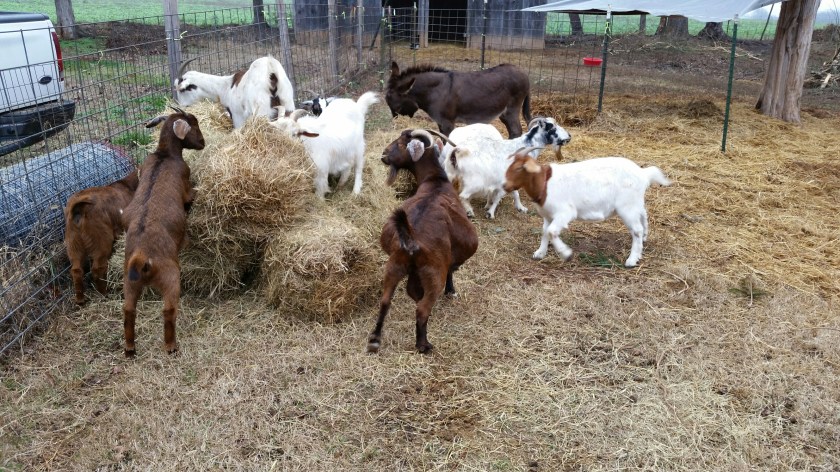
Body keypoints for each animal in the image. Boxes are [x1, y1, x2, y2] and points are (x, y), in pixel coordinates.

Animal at [64, 169, 139, 305]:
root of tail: (78, 208)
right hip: (101, 241)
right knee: (97, 269)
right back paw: (105, 294)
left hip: (73, 243)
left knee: (76, 270)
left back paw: (80, 300)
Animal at [121, 108, 205, 356]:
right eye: (194, 124)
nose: (203, 143)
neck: (163, 155)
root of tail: (141, 256)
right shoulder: (187, 187)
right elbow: (192, 194)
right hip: (171, 277)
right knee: (168, 310)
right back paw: (171, 346)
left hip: (129, 283)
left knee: (128, 310)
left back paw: (130, 348)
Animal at [367, 129, 478, 354]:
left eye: (401, 144)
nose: (383, 155)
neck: (435, 180)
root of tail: (410, 241)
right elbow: (452, 268)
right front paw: (451, 291)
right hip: (433, 274)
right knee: (422, 309)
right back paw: (423, 345)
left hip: (394, 266)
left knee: (385, 301)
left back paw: (375, 339)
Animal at [442, 118, 571, 219]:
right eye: (553, 128)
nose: (569, 136)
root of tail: (457, 151)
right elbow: (503, 194)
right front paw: (490, 212)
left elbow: (514, 193)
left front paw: (520, 208)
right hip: (475, 183)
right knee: (462, 196)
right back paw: (469, 211)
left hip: (449, 174)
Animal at [503, 148, 671, 267]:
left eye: (518, 168)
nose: (504, 185)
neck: (544, 183)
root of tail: (643, 174)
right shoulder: (548, 215)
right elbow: (545, 232)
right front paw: (540, 253)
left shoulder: (565, 212)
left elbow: (551, 231)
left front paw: (566, 254)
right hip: (635, 203)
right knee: (643, 215)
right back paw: (644, 239)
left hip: (627, 207)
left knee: (636, 230)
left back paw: (632, 260)